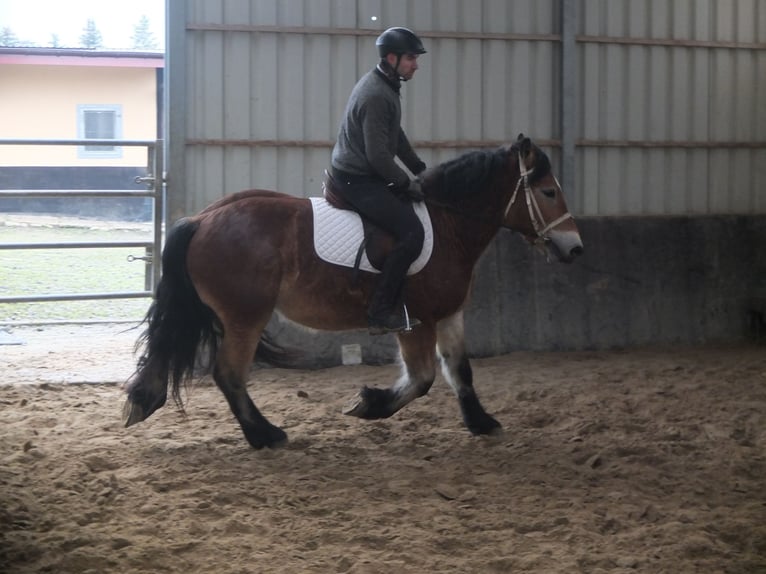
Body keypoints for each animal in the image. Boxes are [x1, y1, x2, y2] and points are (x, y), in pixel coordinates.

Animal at [124, 134, 584, 450]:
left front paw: (482, 422)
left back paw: (147, 401)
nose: (575, 248)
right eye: (548, 191)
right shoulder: (416, 320)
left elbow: (460, 371)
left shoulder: (449, 314)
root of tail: (202, 219)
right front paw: (369, 403)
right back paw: (266, 435)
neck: (448, 224)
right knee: (229, 374)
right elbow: (422, 378)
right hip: (245, 318)